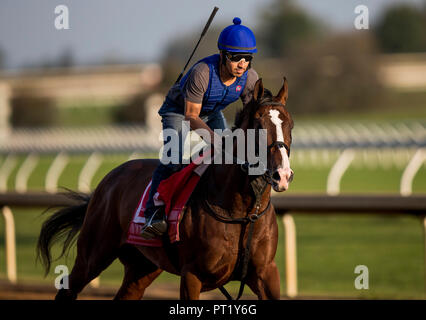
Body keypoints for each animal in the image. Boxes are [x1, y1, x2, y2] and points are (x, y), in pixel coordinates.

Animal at [37, 77, 292, 300]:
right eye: (258, 125)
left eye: (289, 124)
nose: (282, 175)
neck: (241, 211)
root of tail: (108, 180)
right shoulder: (192, 275)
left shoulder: (266, 274)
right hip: (93, 254)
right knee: (68, 289)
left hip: (142, 266)